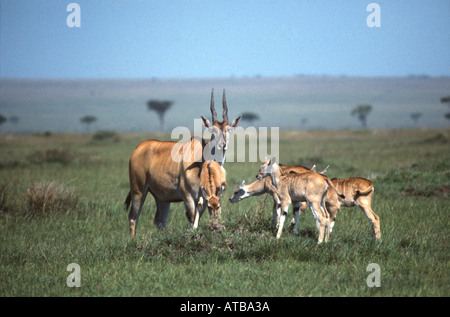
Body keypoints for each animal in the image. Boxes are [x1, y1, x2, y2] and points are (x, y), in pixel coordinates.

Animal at [125, 89, 241, 237]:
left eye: (229, 129)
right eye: (212, 130)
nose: (223, 145)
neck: (202, 163)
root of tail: (139, 148)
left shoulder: (205, 198)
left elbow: (197, 218)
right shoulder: (188, 197)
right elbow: (192, 220)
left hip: (162, 199)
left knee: (159, 221)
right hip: (138, 192)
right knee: (133, 217)